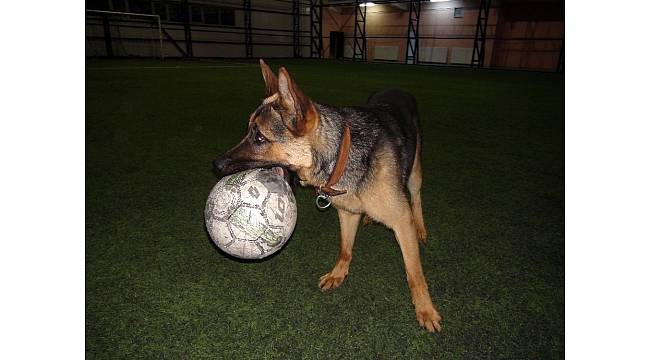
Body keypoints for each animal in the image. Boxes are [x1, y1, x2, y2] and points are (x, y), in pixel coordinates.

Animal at [213, 59, 440, 332]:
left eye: (259, 137)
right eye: (249, 131)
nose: (216, 165)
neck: (342, 154)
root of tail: (397, 89)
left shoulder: (401, 221)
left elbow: (414, 273)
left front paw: (425, 309)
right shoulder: (347, 213)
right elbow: (345, 248)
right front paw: (338, 274)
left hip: (415, 172)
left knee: (416, 197)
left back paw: (421, 227)